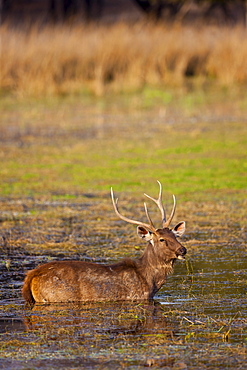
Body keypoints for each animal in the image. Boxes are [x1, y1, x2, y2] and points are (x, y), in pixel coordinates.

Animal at [22, 181, 185, 304]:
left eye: (175, 236)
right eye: (161, 239)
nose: (183, 250)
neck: (150, 282)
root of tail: (31, 275)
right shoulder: (137, 296)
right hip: (54, 296)